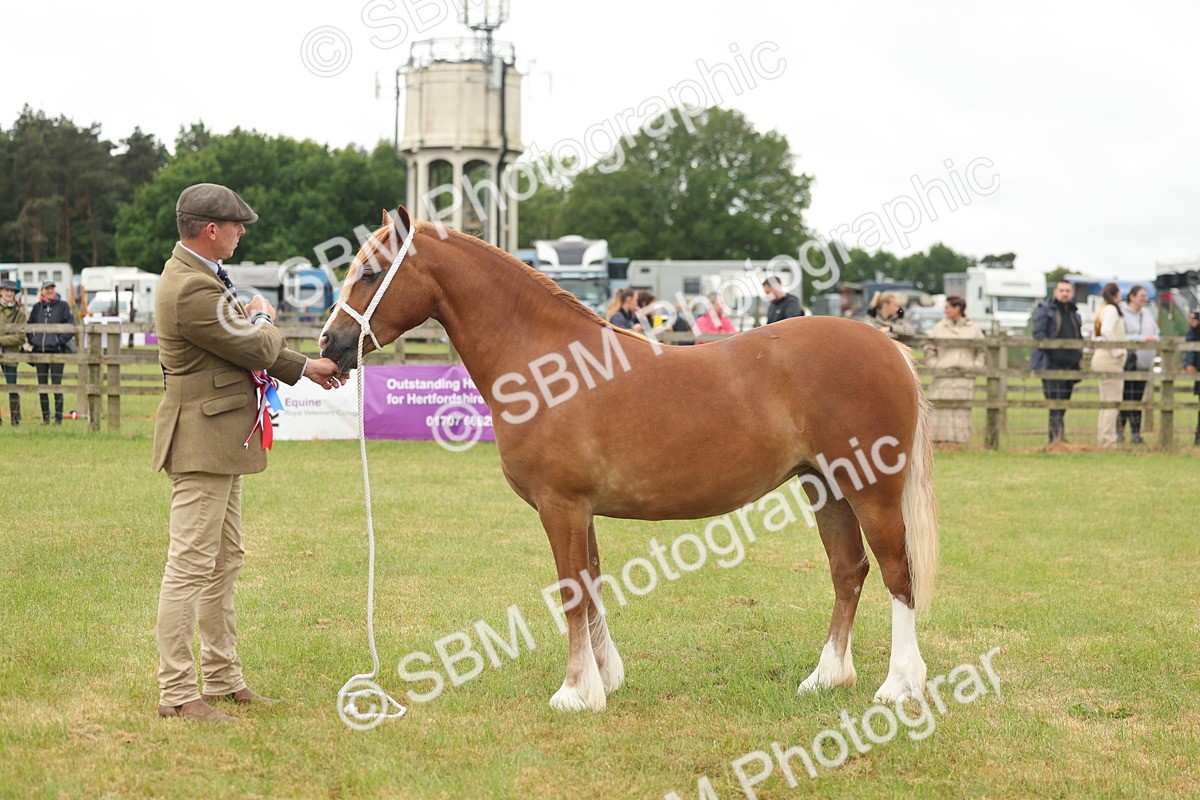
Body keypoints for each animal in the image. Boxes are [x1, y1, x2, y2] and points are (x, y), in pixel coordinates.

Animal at [319, 207, 938, 712]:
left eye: (371, 272)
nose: (330, 344)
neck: (547, 364)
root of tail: (888, 346)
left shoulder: (561, 505)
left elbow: (571, 590)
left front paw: (574, 692)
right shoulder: (581, 510)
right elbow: (591, 584)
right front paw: (605, 679)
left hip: (871, 490)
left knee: (896, 573)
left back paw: (898, 685)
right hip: (825, 486)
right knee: (848, 571)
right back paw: (826, 678)